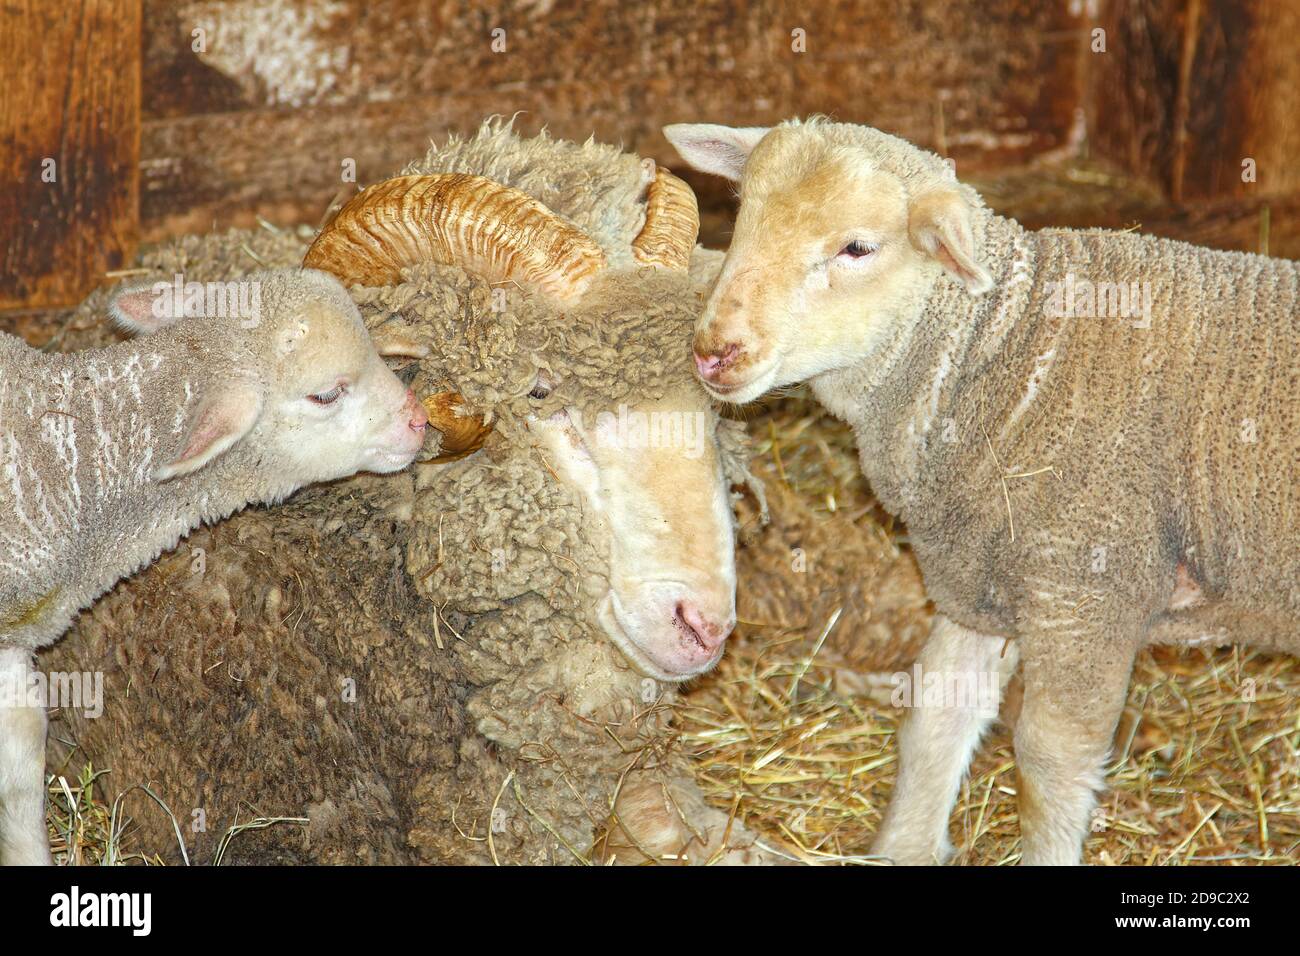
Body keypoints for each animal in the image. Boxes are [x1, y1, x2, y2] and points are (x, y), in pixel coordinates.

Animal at [666, 117, 1300, 865]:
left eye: (857, 248)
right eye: (744, 217)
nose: (713, 352)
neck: (1005, 354)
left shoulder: (1088, 594)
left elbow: (1050, 765)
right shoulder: (978, 574)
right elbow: (937, 716)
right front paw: (903, 847)